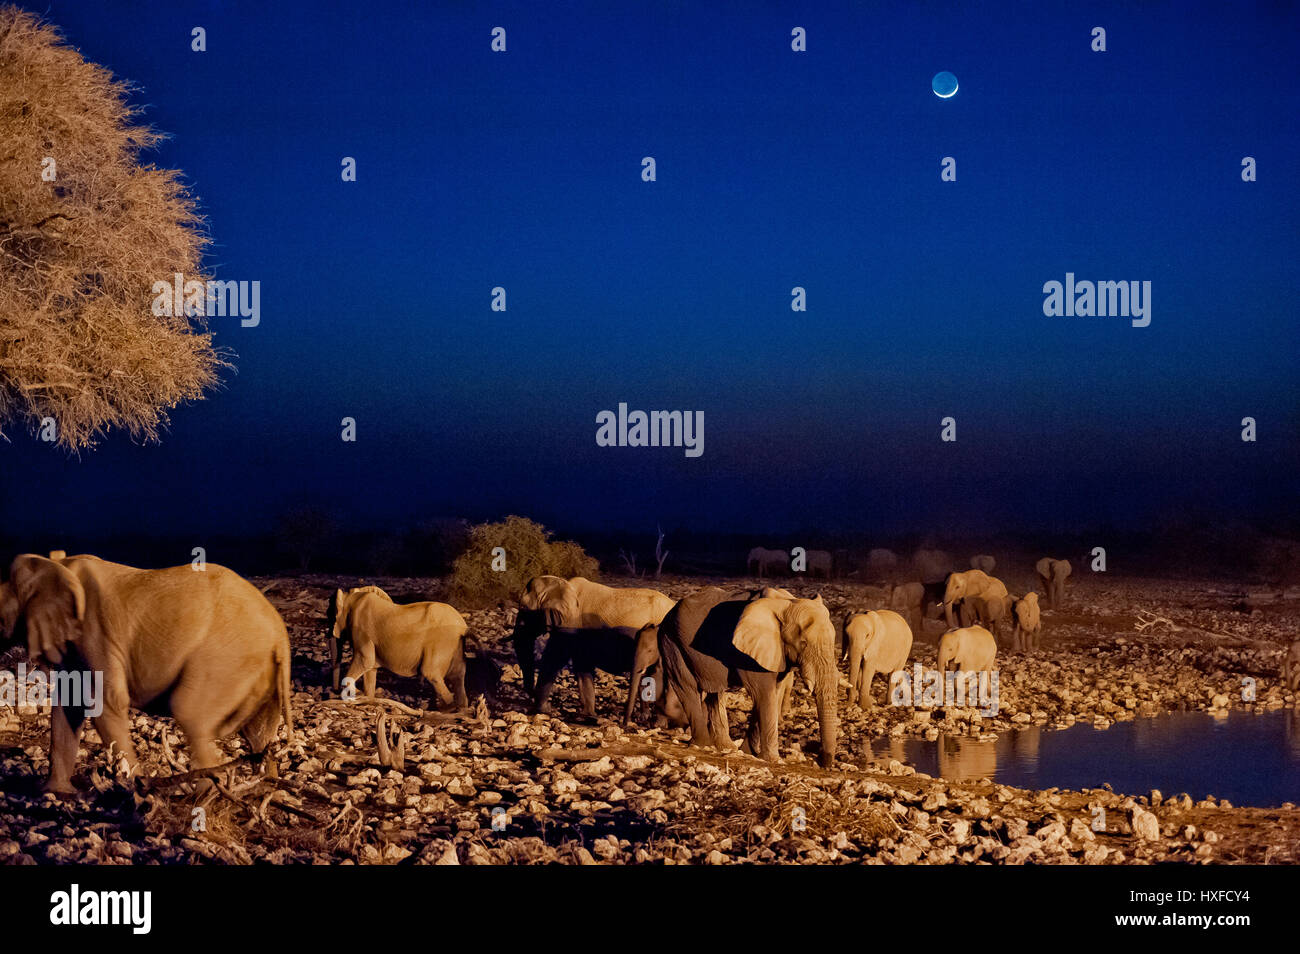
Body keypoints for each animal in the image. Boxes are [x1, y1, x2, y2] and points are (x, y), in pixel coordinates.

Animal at [0, 553, 289, 790]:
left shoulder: (95, 633)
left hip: (226, 657)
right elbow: (69, 706)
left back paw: (203, 798)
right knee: (259, 733)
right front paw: (57, 793)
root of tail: (280, 636)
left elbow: (107, 703)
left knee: (190, 713)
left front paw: (134, 791)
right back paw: (265, 786)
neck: (54, 565)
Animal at [330, 582, 473, 712]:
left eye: (330, 616)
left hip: (441, 641)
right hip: (455, 645)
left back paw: (448, 709)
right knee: (458, 674)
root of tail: (463, 626)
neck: (353, 597)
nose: (333, 692)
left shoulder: (360, 631)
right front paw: (367, 699)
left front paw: (358, 694)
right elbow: (370, 668)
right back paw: (461, 708)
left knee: (431, 673)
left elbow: (366, 660)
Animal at [506, 574, 670, 722]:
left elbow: (554, 658)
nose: (531, 695)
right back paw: (644, 717)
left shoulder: (569, 623)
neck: (563, 584)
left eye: (525, 610)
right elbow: (581, 666)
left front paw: (543, 709)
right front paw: (588, 714)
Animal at [655, 590, 837, 769]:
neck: (786, 603)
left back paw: (727, 748)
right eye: (803, 643)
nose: (820, 761)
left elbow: (770, 695)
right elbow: (764, 695)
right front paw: (774, 760)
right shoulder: (748, 654)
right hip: (671, 643)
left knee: (715, 694)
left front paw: (749, 753)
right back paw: (702, 745)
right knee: (687, 689)